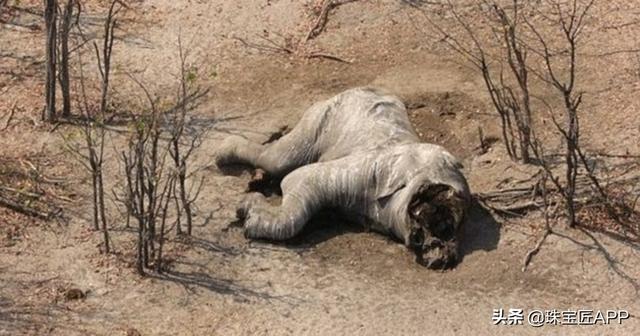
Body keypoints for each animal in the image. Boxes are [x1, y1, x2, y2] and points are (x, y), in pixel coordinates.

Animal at [215, 88, 470, 270]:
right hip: (325, 115)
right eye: (433, 196)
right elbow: (297, 181)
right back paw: (223, 152)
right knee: (277, 159)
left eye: (449, 226)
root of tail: (368, 89)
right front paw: (246, 211)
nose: (442, 255)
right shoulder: (366, 172)